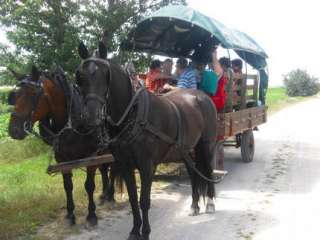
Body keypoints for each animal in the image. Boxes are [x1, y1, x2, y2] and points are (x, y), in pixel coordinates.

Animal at [7, 66, 120, 227]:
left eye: (33, 94)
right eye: (15, 96)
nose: (13, 130)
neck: (74, 123)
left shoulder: (91, 157)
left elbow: (89, 185)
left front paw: (91, 215)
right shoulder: (62, 159)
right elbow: (68, 186)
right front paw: (70, 215)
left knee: (113, 169)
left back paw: (110, 196)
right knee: (104, 169)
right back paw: (104, 194)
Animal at [76, 42, 219, 239]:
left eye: (106, 76)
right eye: (80, 77)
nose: (91, 115)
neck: (133, 114)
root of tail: (201, 96)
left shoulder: (146, 166)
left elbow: (144, 201)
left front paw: (145, 232)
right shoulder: (125, 165)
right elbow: (133, 199)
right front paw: (135, 230)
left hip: (206, 145)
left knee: (209, 171)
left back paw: (210, 203)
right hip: (187, 150)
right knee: (193, 173)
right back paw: (194, 205)